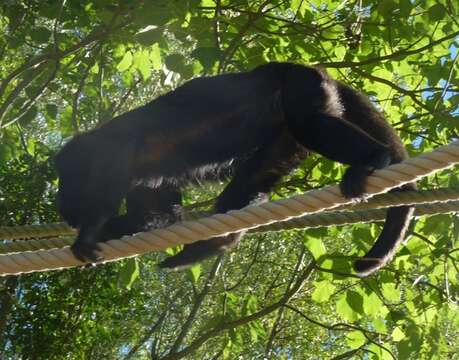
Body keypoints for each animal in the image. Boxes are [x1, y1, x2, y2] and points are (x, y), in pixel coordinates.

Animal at [54, 62, 416, 276]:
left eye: (65, 180)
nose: (61, 204)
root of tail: (311, 69)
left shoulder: (111, 150)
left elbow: (111, 193)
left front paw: (88, 234)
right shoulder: (143, 183)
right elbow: (159, 217)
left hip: (301, 87)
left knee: (309, 123)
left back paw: (374, 157)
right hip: (284, 132)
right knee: (256, 174)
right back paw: (213, 245)